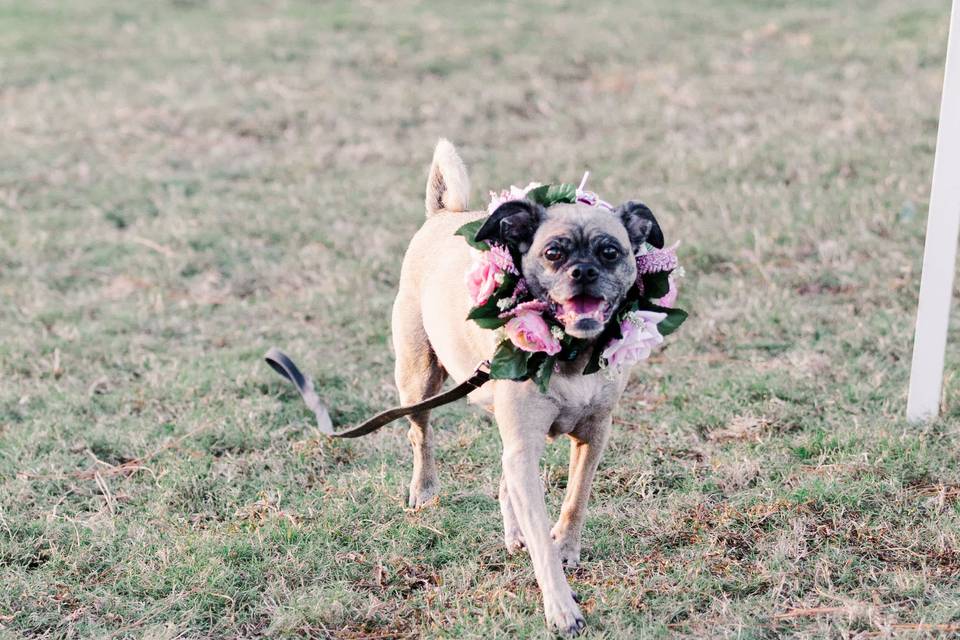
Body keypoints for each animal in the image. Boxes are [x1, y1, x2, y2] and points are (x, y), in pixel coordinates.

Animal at [390, 140, 660, 636]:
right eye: (553, 253)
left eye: (610, 252)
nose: (583, 272)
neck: (571, 353)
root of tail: (446, 214)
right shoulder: (525, 447)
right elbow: (541, 540)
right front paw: (561, 607)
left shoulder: (593, 436)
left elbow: (575, 499)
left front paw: (567, 547)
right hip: (419, 381)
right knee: (421, 435)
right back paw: (423, 491)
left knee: (503, 479)